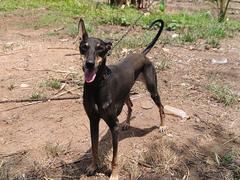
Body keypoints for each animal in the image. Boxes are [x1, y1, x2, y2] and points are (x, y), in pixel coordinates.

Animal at [79, 17, 165, 179]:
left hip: (152, 90)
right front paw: (93, 166)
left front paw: (114, 175)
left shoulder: (114, 127)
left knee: (161, 107)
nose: (89, 64)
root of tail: (142, 54)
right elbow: (94, 147)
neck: (97, 84)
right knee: (130, 105)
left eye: (100, 48)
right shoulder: (93, 120)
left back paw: (162, 126)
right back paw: (126, 123)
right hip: (125, 94)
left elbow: (115, 158)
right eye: (84, 47)